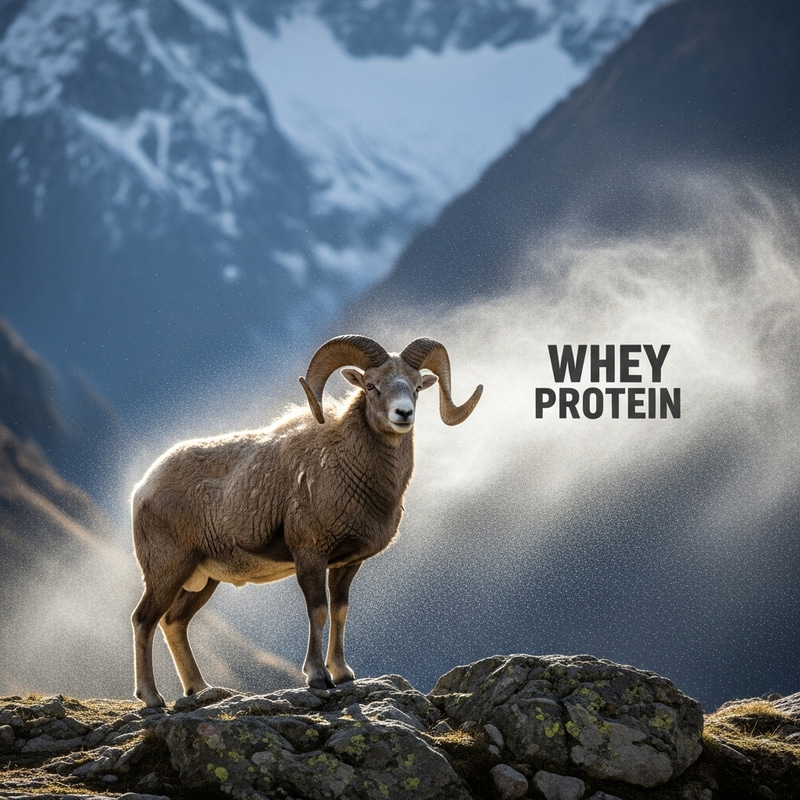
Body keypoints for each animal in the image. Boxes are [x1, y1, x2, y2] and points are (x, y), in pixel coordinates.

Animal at [131, 334, 483, 707]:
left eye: (416, 387)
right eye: (371, 386)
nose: (403, 413)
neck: (346, 466)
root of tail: (142, 489)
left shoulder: (346, 564)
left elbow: (340, 611)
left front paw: (342, 674)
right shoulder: (310, 555)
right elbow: (319, 611)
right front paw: (317, 677)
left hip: (202, 580)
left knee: (174, 622)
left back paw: (201, 689)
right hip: (167, 571)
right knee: (144, 620)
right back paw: (152, 698)